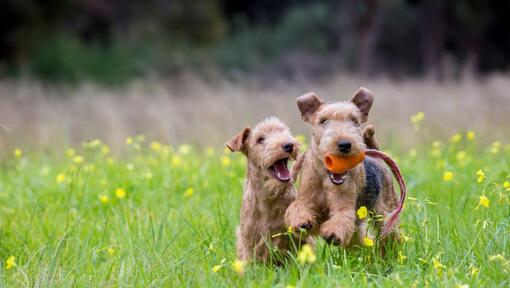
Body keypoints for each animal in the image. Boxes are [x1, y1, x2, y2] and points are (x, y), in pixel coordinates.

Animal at [282, 88, 398, 248]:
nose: (344, 144)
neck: (326, 179)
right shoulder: (305, 201)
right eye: (323, 121)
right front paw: (302, 223)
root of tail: (376, 158)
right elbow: (298, 209)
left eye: (355, 120)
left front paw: (332, 234)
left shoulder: (344, 208)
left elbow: (340, 219)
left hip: (385, 211)